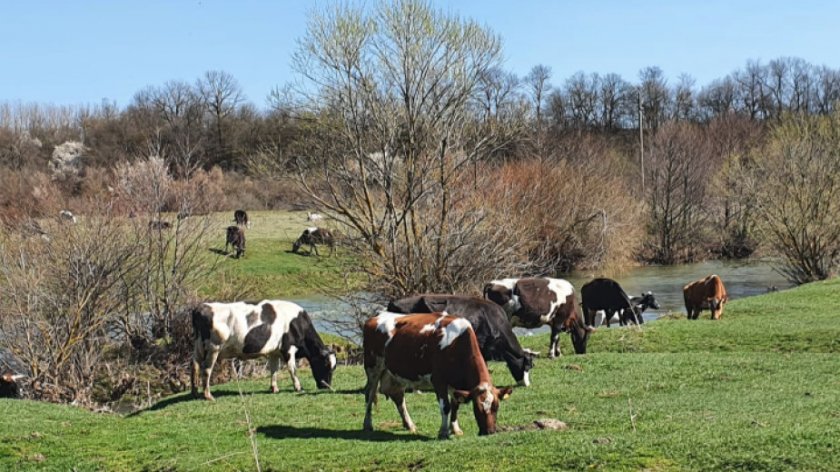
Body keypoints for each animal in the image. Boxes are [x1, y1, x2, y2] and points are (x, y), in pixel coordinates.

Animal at [189, 300, 336, 400]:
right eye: (325, 364)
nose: (326, 386)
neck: (298, 323)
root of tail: (201, 306)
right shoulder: (288, 348)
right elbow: (292, 369)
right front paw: (298, 387)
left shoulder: (274, 351)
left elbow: (274, 370)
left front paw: (274, 388)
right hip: (213, 347)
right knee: (206, 369)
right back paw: (208, 395)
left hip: (198, 346)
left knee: (194, 365)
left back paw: (195, 393)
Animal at [360, 314, 512, 438]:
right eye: (477, 408)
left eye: (496, 407)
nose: (490, 431)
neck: (457, 343)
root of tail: (374, 318)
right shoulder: (438, 380)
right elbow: (446, 406)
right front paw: (443, 431)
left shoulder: (456, 385)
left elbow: (455, 405)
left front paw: (455, 429)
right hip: (373, 368)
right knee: (369, 395)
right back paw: (368, 424)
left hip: (394, 375)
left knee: (398, 398)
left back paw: (409, 425)